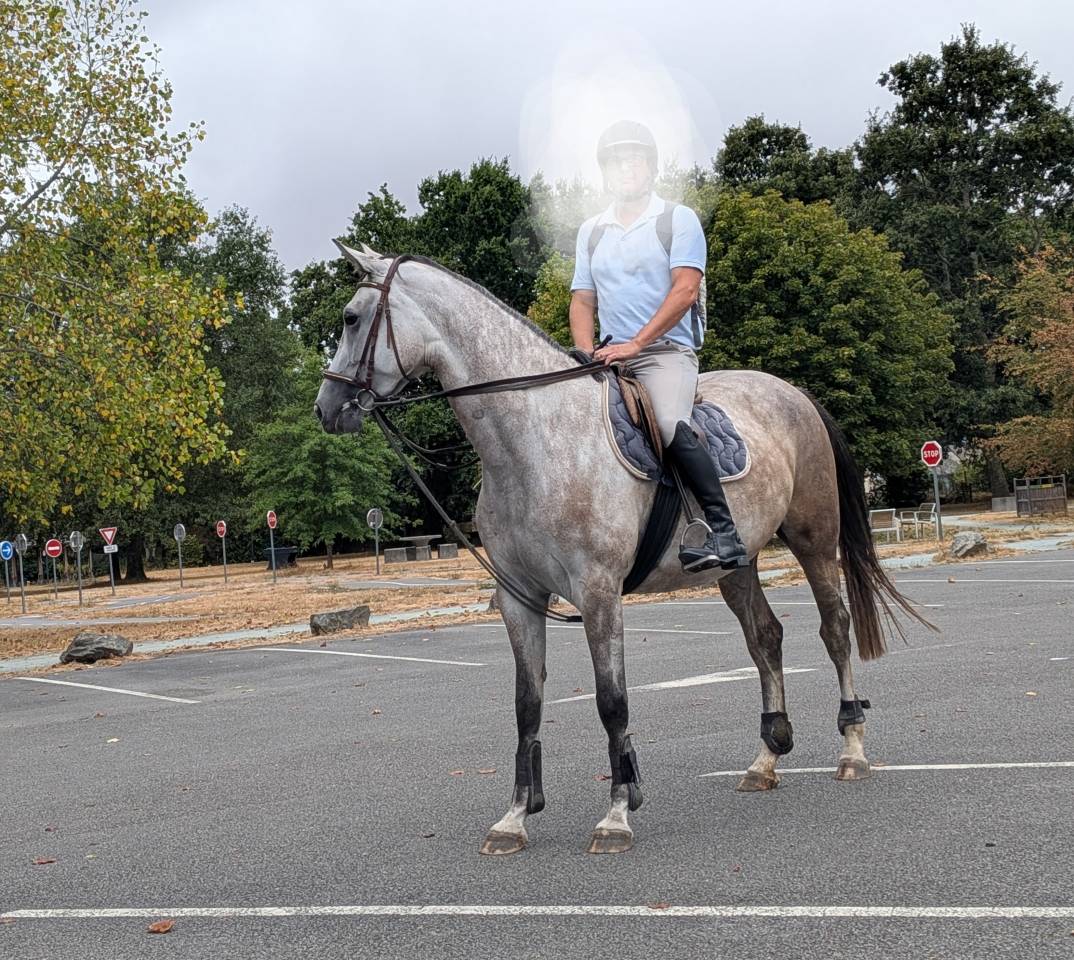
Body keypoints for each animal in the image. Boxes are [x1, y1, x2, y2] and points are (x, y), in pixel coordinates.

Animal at [315, 243, 925, 856]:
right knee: (765, 638)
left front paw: (616, 815)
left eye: (350, 317)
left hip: (814, 540)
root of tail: (794, 393)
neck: (534, 440)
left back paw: (852, 750)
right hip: (739, 562)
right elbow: (527, 705)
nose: (327, 409)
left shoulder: (598, 592)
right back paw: (764, 761)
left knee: (834, 629)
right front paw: (515, 818)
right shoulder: (519, 598)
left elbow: (612, 702)